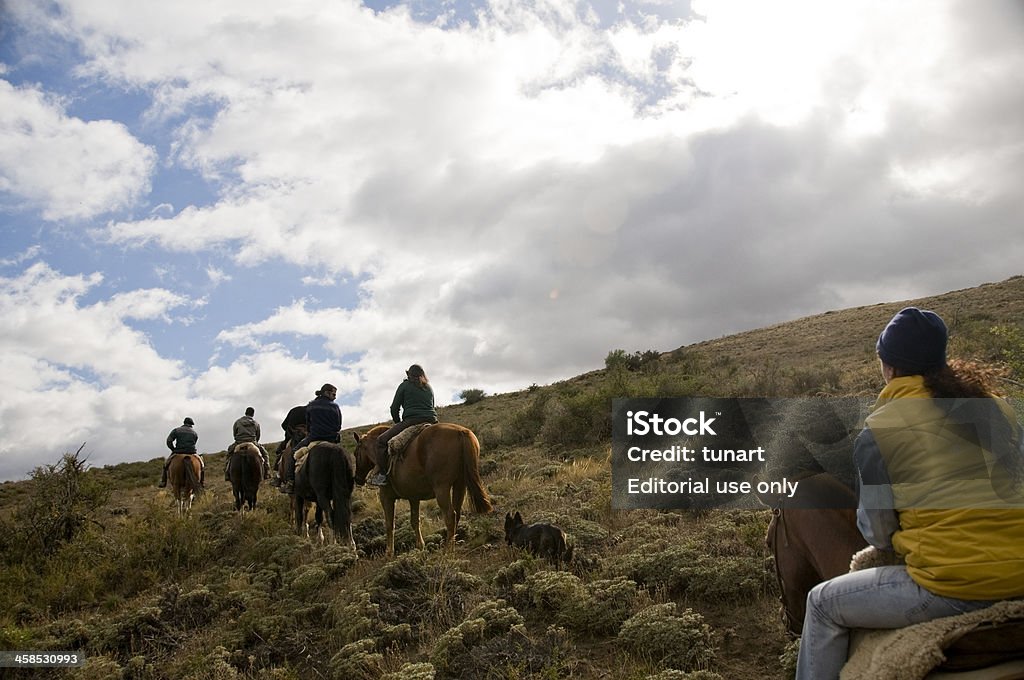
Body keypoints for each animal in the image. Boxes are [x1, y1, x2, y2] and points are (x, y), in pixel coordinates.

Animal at [354, 421, 493, 557]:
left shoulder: (386, 497)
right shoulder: (413, 498)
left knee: (450, 515)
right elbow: (415, 521)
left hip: (442, 488)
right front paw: (420, 546)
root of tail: (461, 432)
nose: (357, 479)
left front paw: (389, 552)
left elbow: (389, 524)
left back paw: (447, 550)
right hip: (460, 484)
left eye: (355, 454)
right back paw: (452, 545)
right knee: (457, 514)